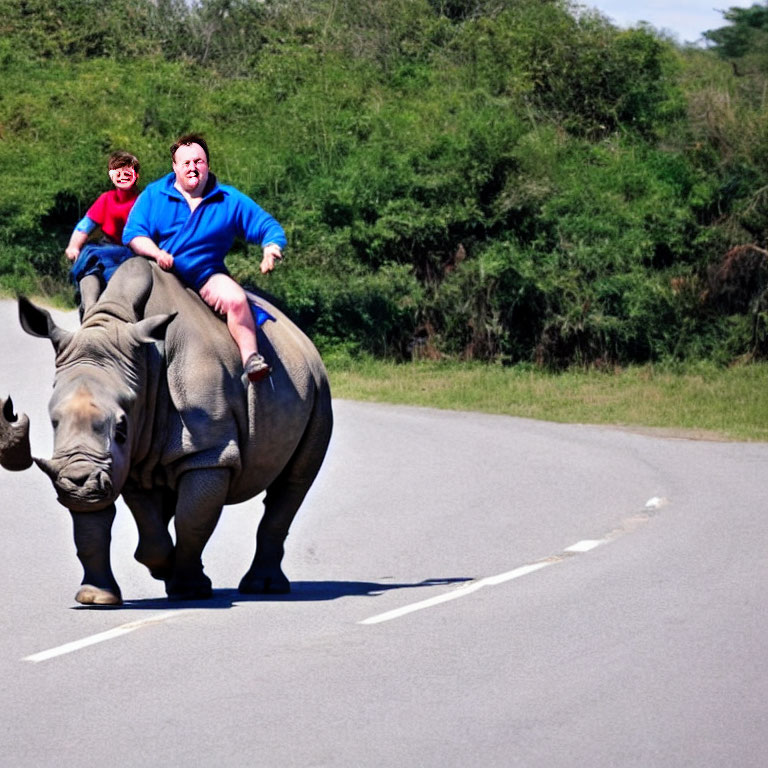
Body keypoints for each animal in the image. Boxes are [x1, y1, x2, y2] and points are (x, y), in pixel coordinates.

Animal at [3, 258, 332, 608]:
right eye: (53, 421)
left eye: (121, 428)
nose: (77, 484)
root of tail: (300, 335)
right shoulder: (127, 460)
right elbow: (135, 523)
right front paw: (103, 595)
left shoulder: (209, 454)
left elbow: (193, 519)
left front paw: (188, 590)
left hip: (318, 387)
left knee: (294, 482)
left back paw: (261, 587)